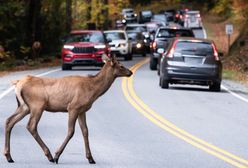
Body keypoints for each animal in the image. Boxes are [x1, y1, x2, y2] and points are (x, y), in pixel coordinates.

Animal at [2, 55, 133, 163]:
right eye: (121, 65)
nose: (130, 72)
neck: (93, 90)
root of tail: (18, 83)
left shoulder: (82, 110)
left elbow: (85, 131)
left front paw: (90, 158)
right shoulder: (73, 107)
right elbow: (71, 131)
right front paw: (57, 156)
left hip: (24, 107)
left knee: (9, 121)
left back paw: (9, 156)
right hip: (37, 105)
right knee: (31, 126)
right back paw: (49, 155)